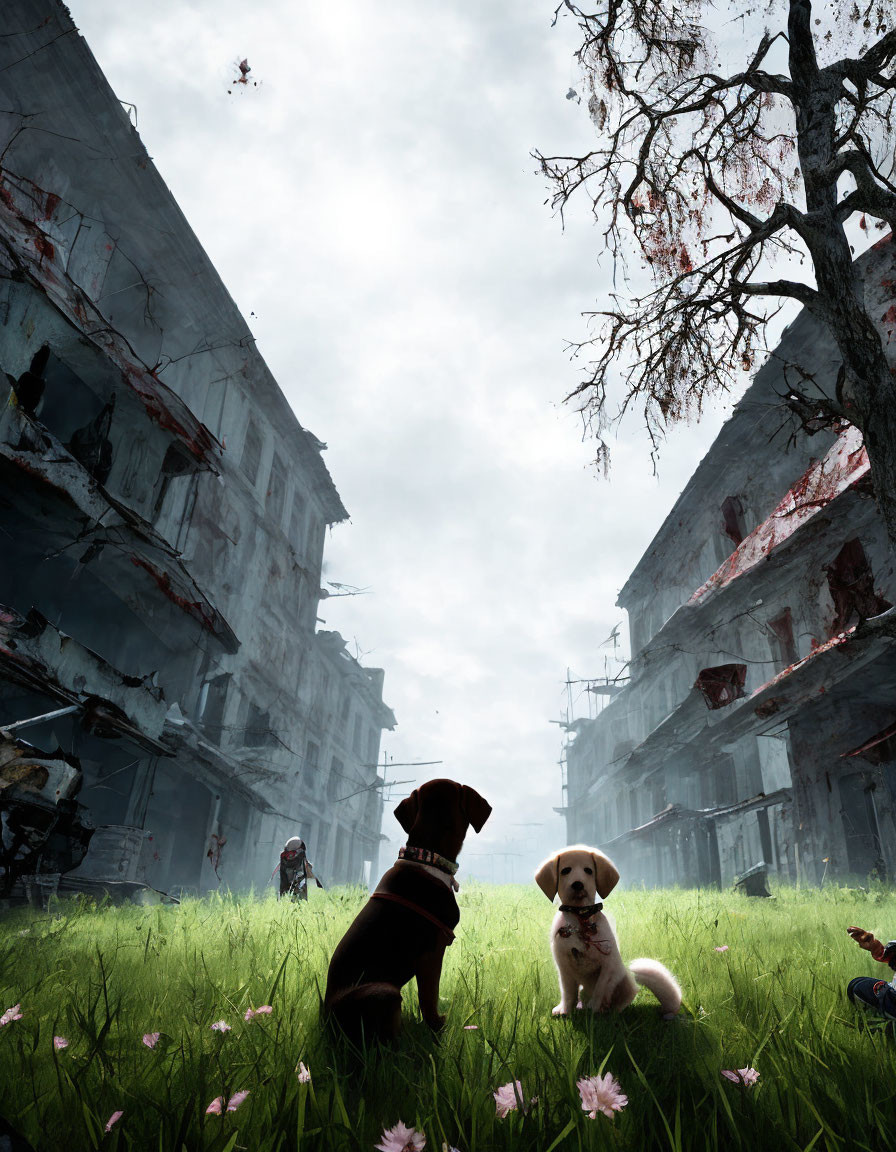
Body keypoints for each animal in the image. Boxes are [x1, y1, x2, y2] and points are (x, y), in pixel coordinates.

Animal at [320, 778, 488, 1050]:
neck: (427, 857)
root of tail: (327, 1025)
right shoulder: (432, 952)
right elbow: (428, 999)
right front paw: (438, 1032)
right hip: (384, 992)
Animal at [534, 847, 681, 1018]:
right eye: (565, 870)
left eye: (588, 870)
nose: (578, 884)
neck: (581, 915)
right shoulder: (564, 967)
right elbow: (568, 992)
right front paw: (564, 1010)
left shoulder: (608, 966)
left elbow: (600, 990)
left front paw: (595, 1010)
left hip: (622, 981)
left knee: (621, 1000)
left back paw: (607, 1011)